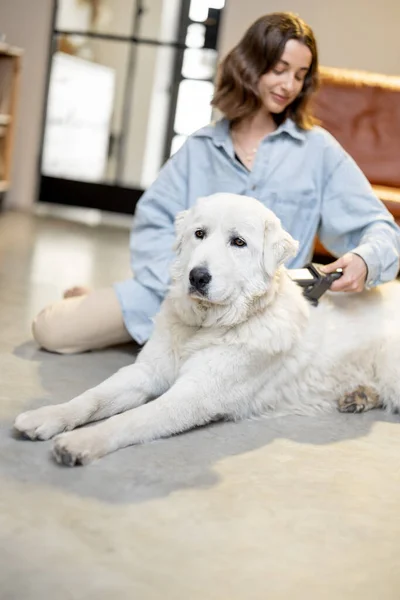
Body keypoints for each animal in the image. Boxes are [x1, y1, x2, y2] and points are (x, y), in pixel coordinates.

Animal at [14, 192, 398, 464]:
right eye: (199, 234)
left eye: (238, 242)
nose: (197, 276)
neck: (208, 326)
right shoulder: (145, 373)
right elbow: (91, 399)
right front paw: (48, 416)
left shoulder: (195, 395)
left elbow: (131, 420)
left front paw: (80, 442)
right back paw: (359, 396)